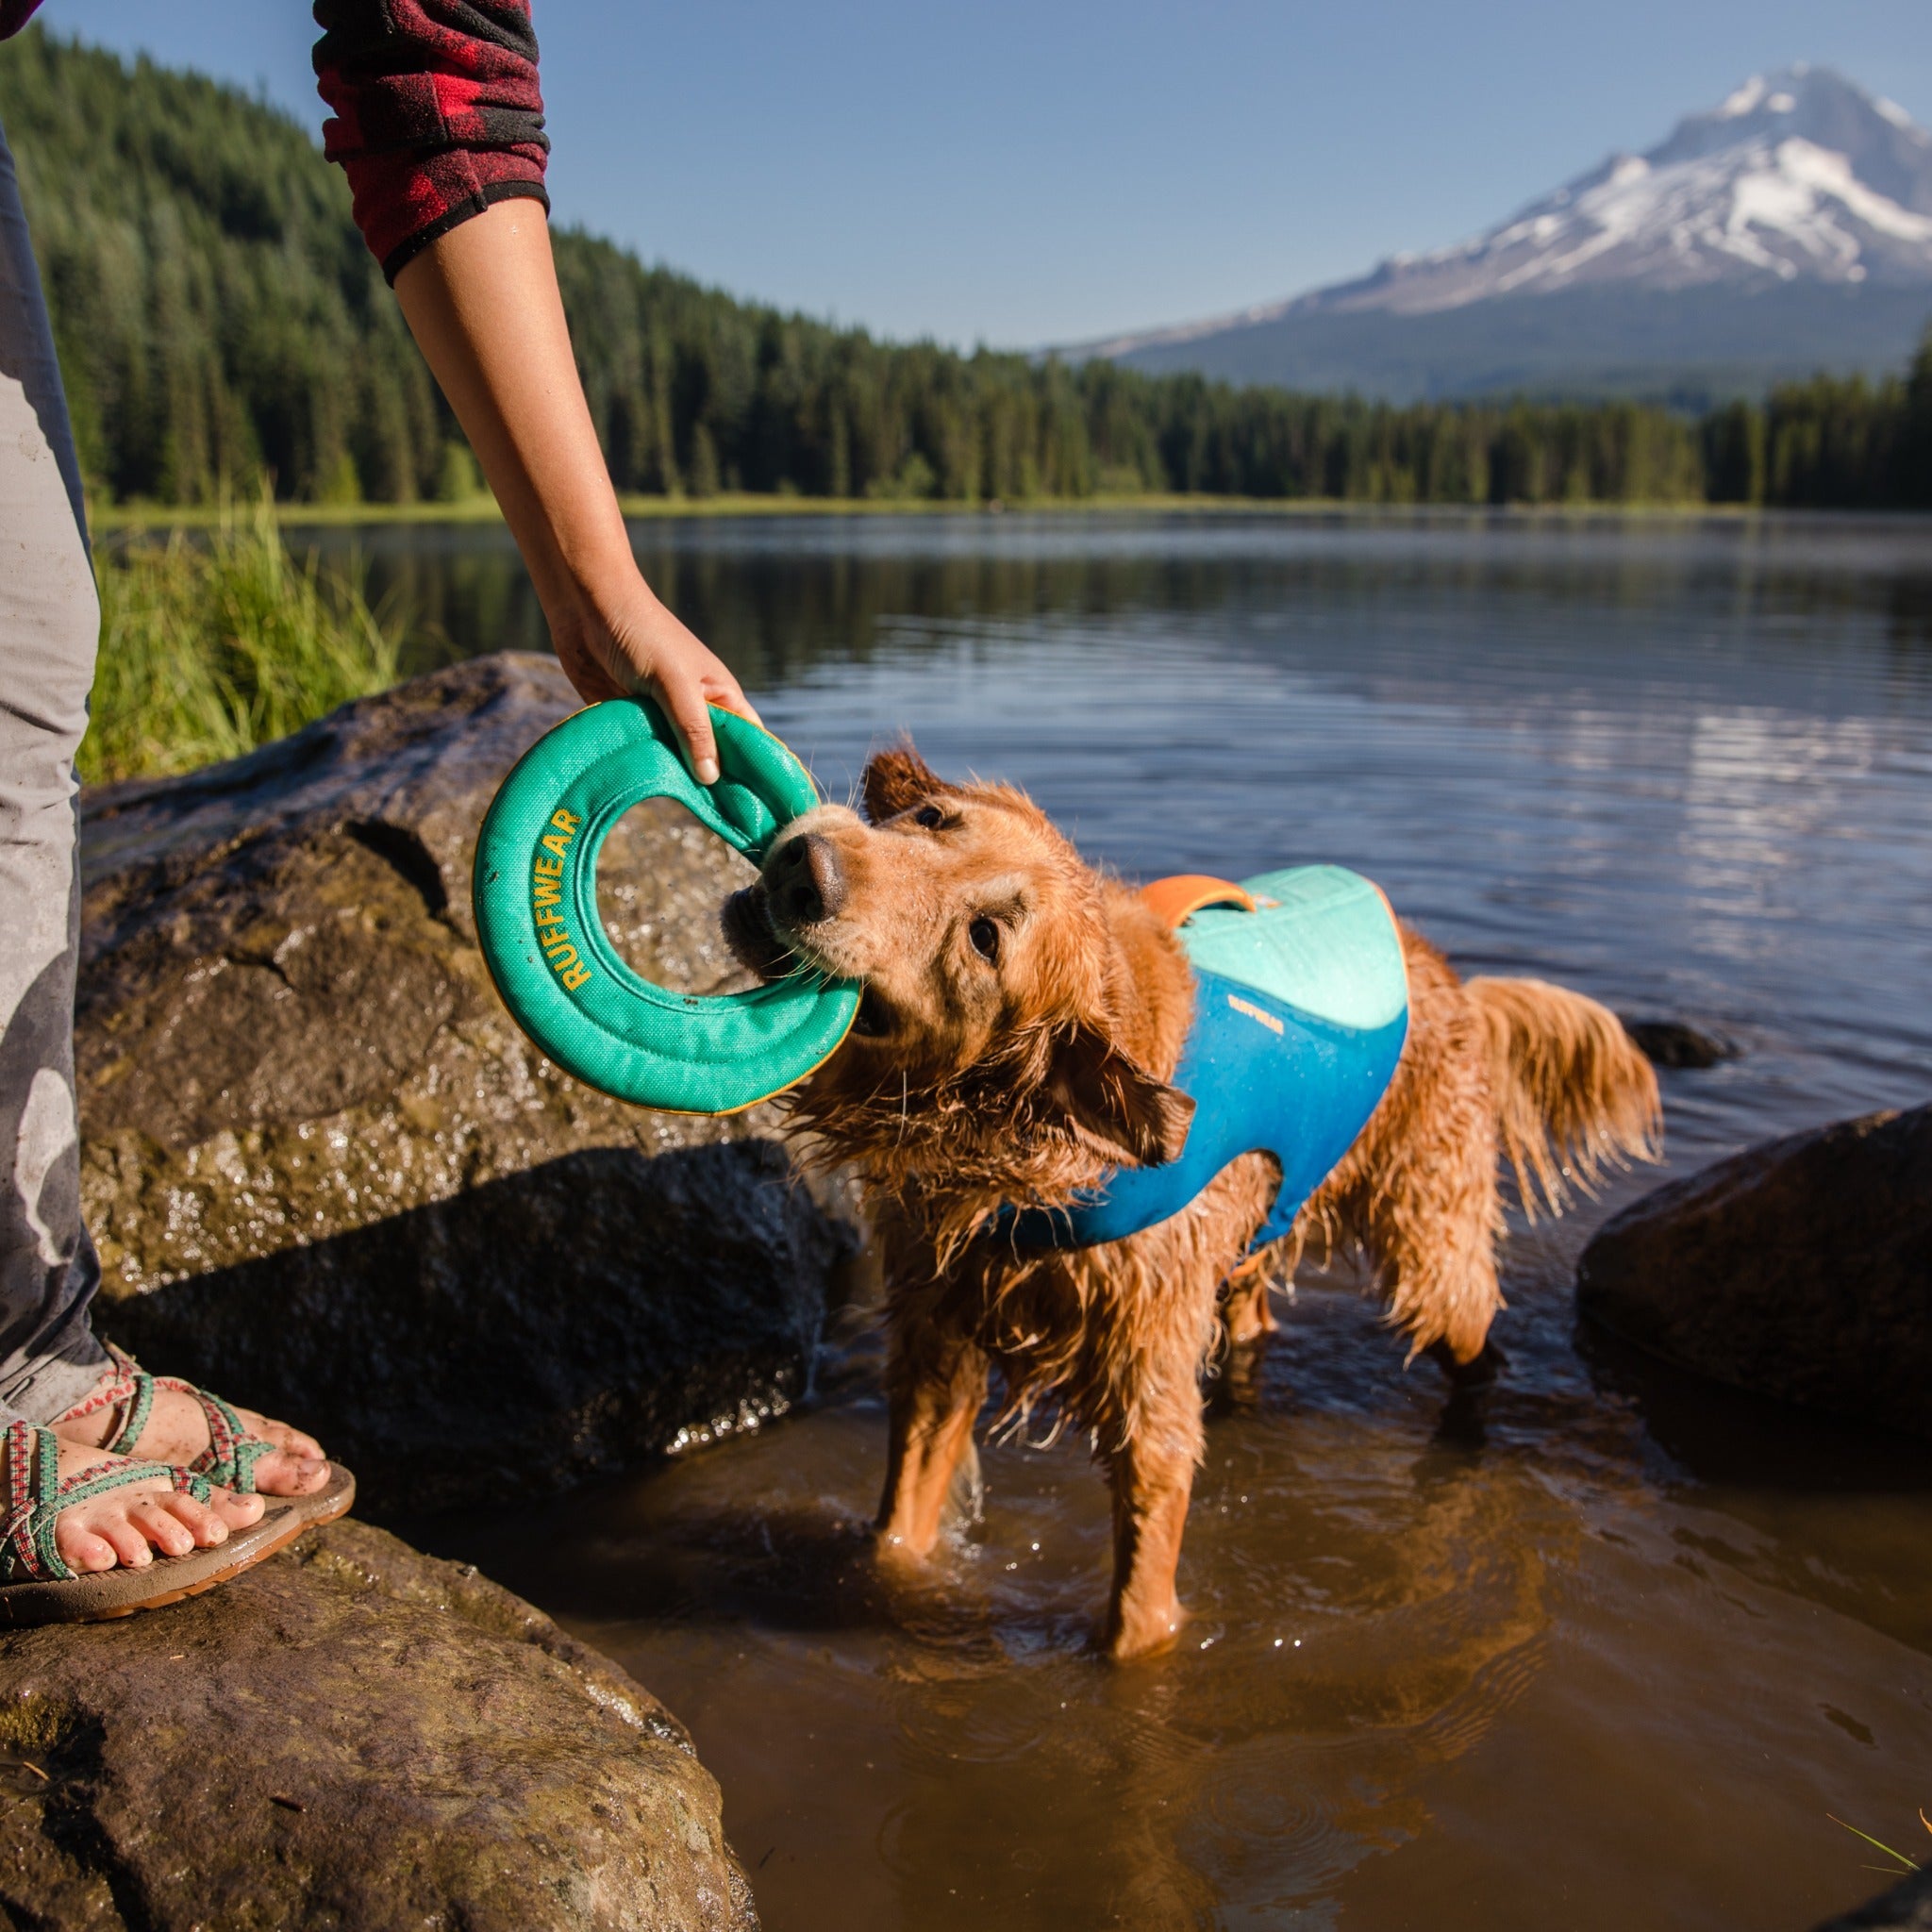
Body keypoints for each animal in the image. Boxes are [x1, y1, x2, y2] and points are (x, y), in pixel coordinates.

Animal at [726, 745, 1661, 1654]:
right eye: (930, 818)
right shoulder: (935, 1338)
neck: (1030, 1169)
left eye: (985, 939)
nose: (810, 867)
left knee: (1473, 1340)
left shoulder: (1149, 1392)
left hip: (1430, 1245)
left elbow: (1140, 1607)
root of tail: (1451, 978)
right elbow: (900, 1527)